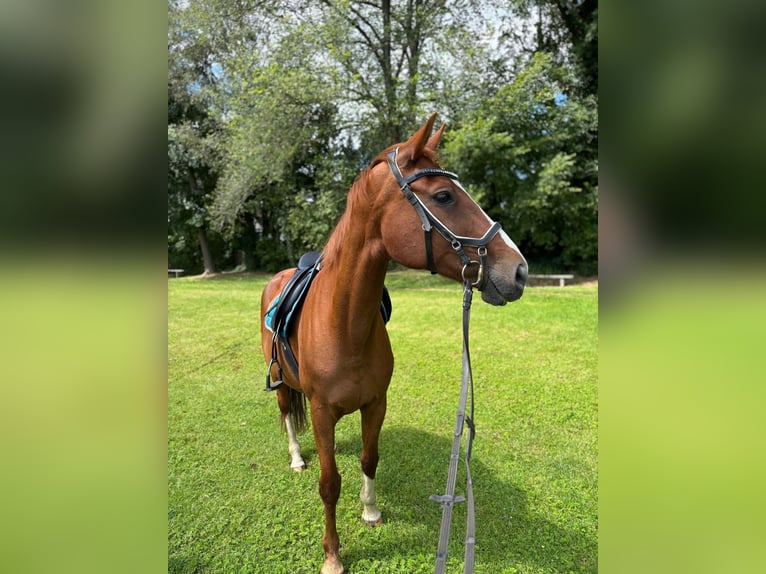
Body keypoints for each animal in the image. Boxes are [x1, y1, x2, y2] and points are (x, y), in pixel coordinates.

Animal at [262, 113, 528, 574]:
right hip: (282, 384)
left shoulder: (375, 403)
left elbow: (369, 459)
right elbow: (329, 483)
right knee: (287, 418)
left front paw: (370, 512)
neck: (344, 325)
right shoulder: (320, 409)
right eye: (443, 196)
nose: (519, 271)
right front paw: (332, 554)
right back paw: (296, 457)